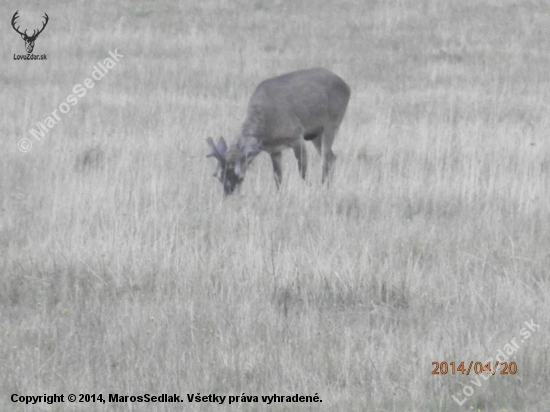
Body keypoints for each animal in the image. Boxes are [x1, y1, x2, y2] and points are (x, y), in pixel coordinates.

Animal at [207, 67, 350, 196]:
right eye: (219, 177)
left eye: (240, 176)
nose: (228, 194)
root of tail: (347, 86)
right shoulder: (274, 150)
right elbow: (277, 176)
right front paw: (280, 195)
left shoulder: (297, 136)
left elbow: (302, 170)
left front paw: (308, 189)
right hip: (316, 135)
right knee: (332, 157)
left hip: (332, 123)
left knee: (326, 158)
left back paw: (323, 186)